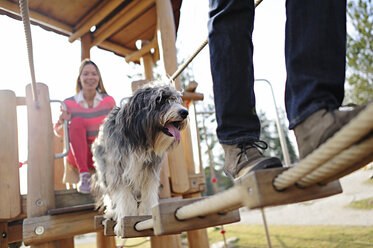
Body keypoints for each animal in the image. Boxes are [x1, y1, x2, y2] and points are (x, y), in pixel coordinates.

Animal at [91, 84, 187, 235]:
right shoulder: (119, 172)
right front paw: (124, 220)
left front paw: (148, 215)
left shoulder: (149, 173)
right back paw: (112, 212)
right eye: (159, 100)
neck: (140, 140)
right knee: (109, 195)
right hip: (104, 172)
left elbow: (148, 195)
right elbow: (124, 197)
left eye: (175, 99)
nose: (185, 112)